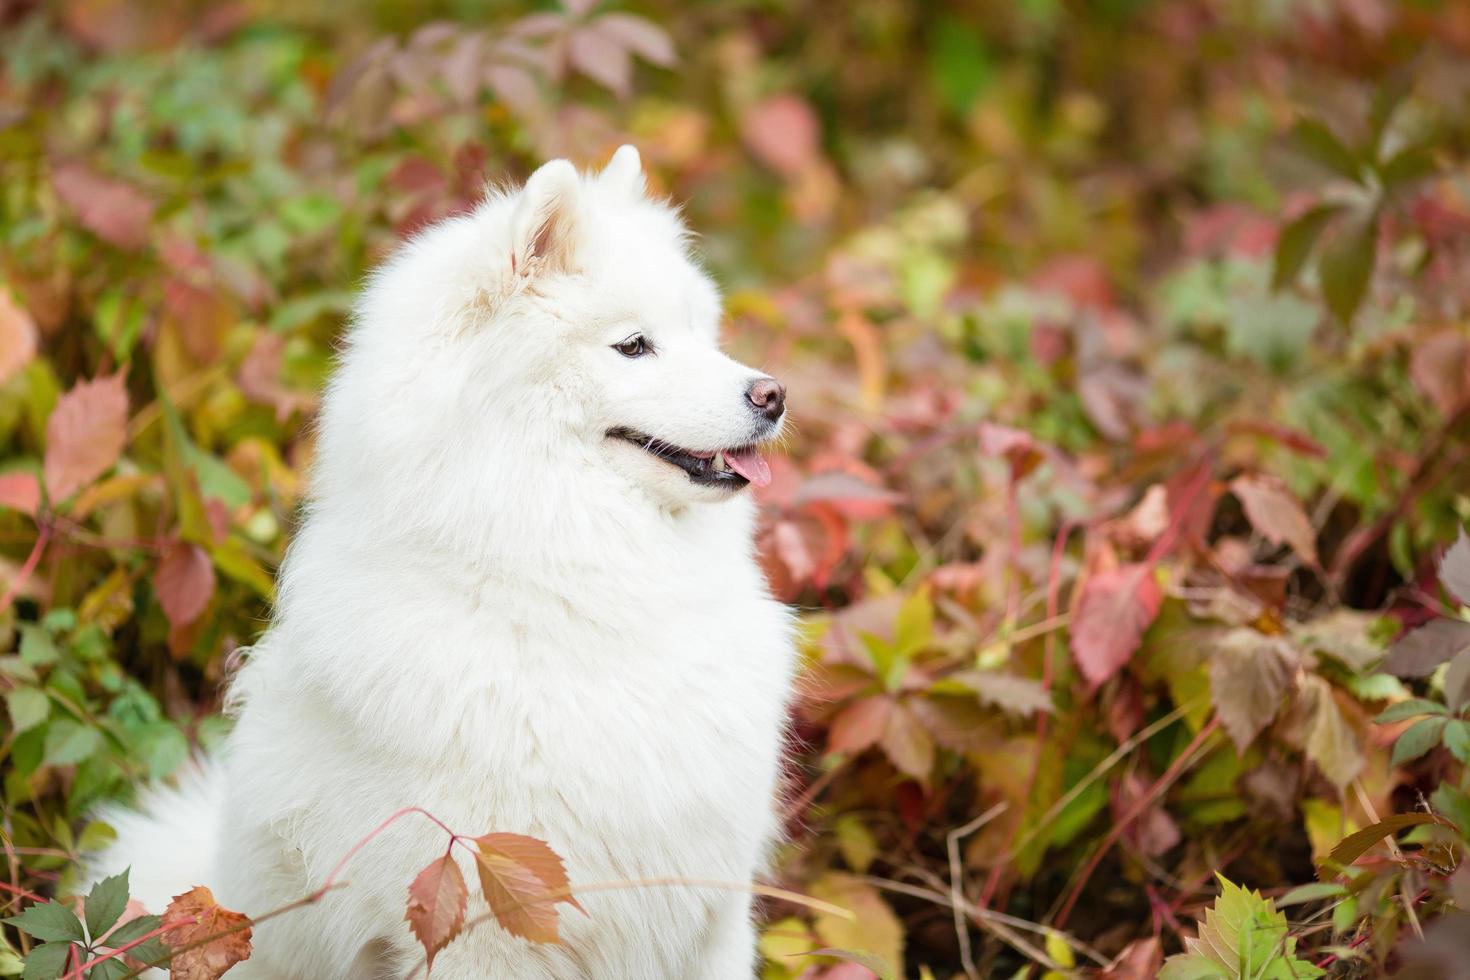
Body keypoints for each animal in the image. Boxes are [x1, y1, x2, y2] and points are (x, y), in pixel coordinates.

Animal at [90, 147, 793, 980]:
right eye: (633, 346)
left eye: (698, 332)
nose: (774, 394)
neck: (561, 577)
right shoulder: (488, 924)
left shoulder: (711, 911)